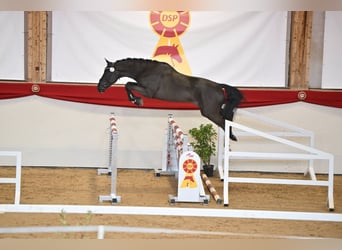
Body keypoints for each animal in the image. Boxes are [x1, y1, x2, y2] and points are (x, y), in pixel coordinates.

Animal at [97, 57, 244, 142]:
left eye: (107, 72)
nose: (99, 87)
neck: (146, 70)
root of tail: (219, 86)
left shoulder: (148, 92)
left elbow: (128, 85)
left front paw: (137, 101)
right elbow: (128, 85)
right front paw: (135, 100)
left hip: (210, 112)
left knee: (224, 122)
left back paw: (230, 141)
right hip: (214, 111)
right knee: (227, 119)